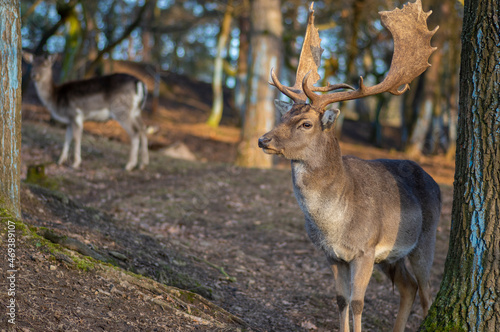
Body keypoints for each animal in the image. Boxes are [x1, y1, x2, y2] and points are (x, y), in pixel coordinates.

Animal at [260, 1, 440, 330]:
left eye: (306, 123)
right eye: (283, 116)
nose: (263, 140)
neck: (334, 223)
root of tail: (434, 181)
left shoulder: (366, 249)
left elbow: (358, 303)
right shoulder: (332, 255)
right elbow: (341, 300)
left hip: (425, 240)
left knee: (425, 292)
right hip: (392, 257)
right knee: (408, 287)